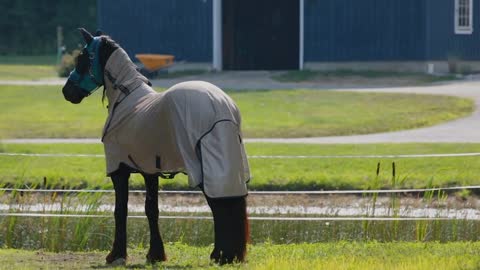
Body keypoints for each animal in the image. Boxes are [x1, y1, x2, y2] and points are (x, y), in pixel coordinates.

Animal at [62, 28, 249, 264]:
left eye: (82, 58)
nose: (67, 91)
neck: (125, 99)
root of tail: (222, 107)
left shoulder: (119, 170)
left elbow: (120, 210)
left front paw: (116, 254)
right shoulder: (150, 170)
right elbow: (152, 210)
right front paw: (155, 254)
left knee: (219, 205)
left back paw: (221, 255)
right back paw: (226, 255)